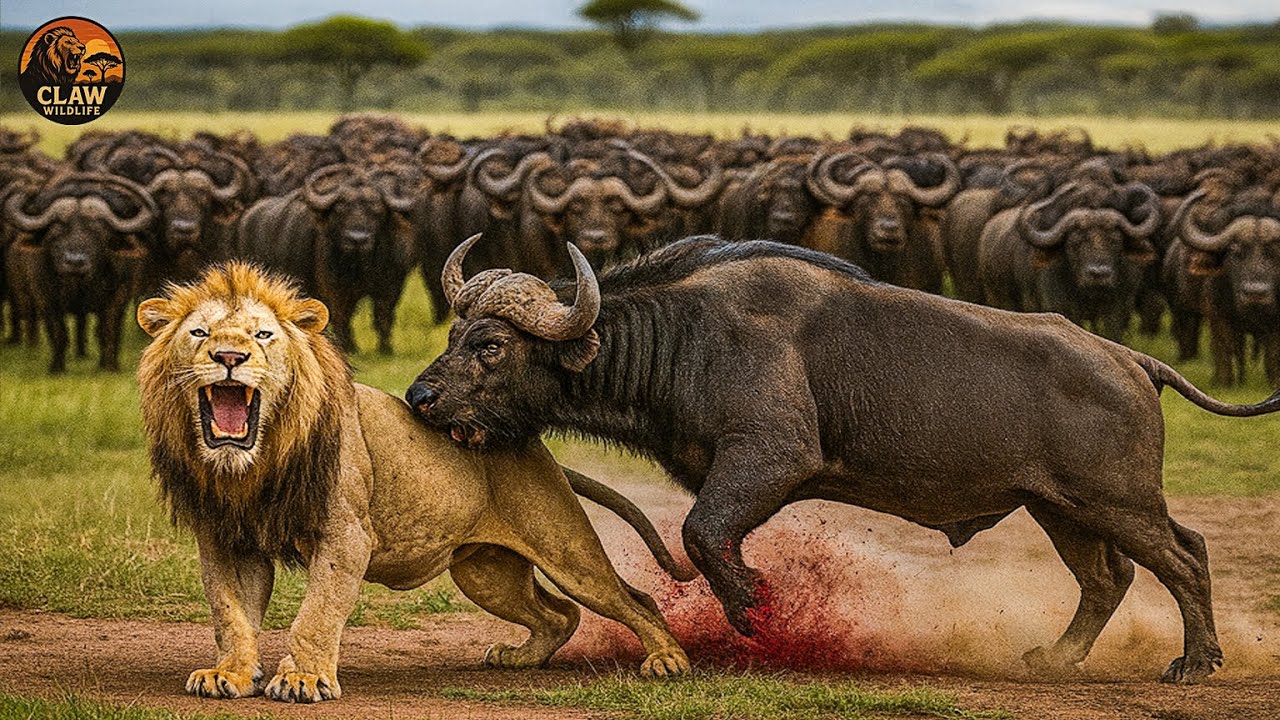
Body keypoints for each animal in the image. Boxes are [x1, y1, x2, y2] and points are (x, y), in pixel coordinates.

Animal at [136, 262, 691, 703]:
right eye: (200, 334)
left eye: (262, 336)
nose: (230, 357)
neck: (255, 463)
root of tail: (528, 444)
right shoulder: (226, 541)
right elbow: (230, 614)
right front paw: (228, 674)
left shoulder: (346, 536)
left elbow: (317, 611)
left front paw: (303, 680)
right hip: (485, 573)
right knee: (560, 614)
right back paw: (521, 658)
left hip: (566, 550)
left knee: (631, 600)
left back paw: (668, 661)